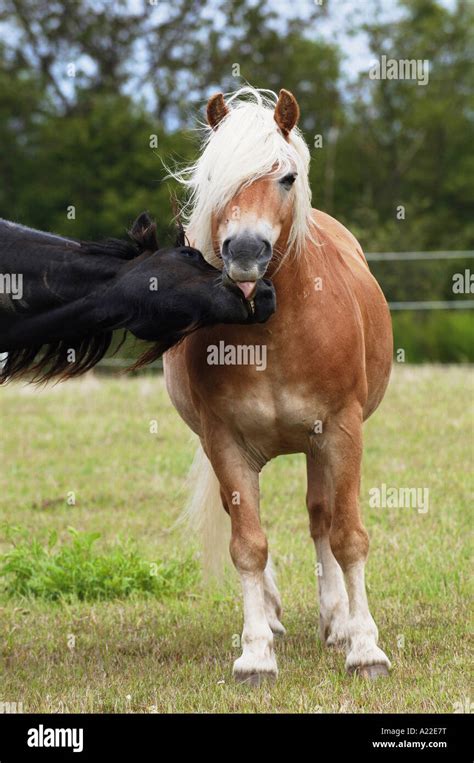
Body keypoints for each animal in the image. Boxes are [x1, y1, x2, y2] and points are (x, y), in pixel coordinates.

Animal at [165, 86, 394, 684]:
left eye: (286, 177)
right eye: (213, 176)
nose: (245, 253)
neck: (271, 334)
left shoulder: (340, 431)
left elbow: (347, 536)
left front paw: (364, 646)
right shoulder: (224, 443)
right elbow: (248, 544)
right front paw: (255, 654)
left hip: (318, 445)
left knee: (321, 519)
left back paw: (337, 621)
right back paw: (269, 617)